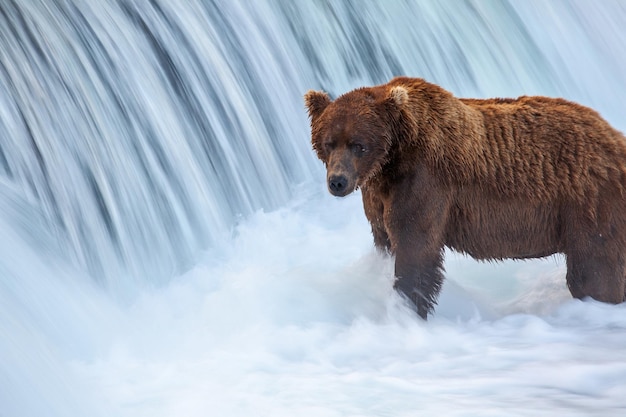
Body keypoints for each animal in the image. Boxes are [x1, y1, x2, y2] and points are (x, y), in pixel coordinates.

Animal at [306, 76, 624, 318]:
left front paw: (408, 307)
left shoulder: (425, 183)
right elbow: (384, 238)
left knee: (594, 270)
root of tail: (614, 137)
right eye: (329, 142)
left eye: (358, 145)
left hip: (589, 201)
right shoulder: (378, 195)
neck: (391, 162)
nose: (338, 181)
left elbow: (415, 247)